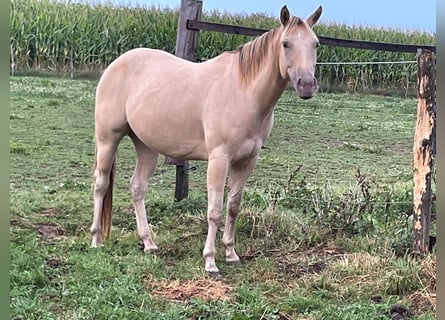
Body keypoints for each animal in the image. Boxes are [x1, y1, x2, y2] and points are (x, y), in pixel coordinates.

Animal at [89, 4, 322, 278]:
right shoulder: (219, 159)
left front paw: (231, 253)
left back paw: (149, 243)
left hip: (146, 146)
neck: (242, 92)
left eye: (315, 44)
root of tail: (115, 64)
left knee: (137, 187)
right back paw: (96, 239)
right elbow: (214, 211)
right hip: (108, 139)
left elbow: (233, 206)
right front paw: (210, 262)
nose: (306, 85)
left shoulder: (247, 161)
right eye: (286, 43)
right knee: (101, 184)